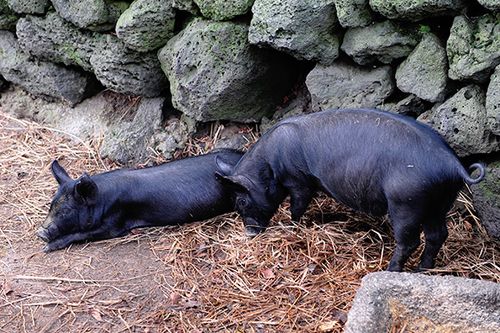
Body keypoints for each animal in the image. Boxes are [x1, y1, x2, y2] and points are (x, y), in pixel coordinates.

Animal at [38, 149, 243, 250]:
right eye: (51, 206)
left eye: (66, 211)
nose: (40, 232)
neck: (103, 199)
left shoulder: (116, 222)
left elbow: (84, 234)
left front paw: (47, 248)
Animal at [217, 107, 486, 272]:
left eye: (241, 202)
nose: (250, 234)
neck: (269, 166)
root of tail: (453, 165)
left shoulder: (298, 180)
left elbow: (298, 205)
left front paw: (292, 226)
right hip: (440, 202)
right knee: (437, 235)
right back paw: (423, 269)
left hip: (406, 202)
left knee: (409, 241)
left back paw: (389, 270)